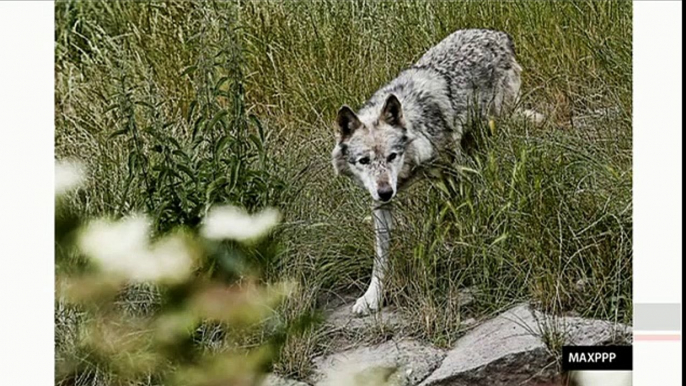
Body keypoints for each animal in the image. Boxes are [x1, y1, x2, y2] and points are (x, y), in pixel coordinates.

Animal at [332, 29, 544, 314]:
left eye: (392, 156)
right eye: (364, 161)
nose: (386, 191)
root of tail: (498, 34)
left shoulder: (451, 172)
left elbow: (459, 215)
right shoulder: (380, 203)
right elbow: (381, 255)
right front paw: (371, 297)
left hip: (492, 130)